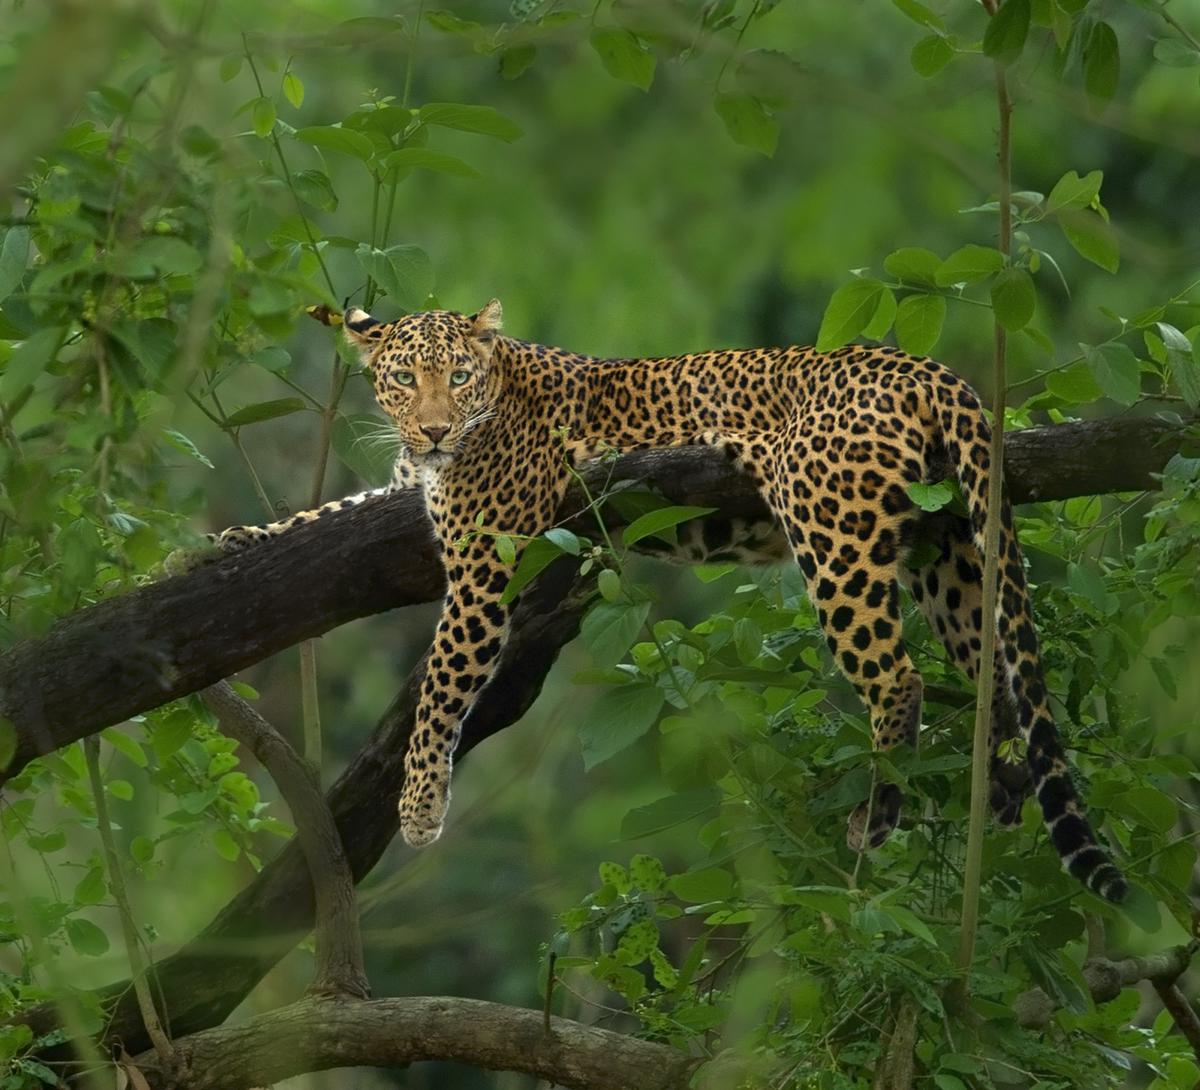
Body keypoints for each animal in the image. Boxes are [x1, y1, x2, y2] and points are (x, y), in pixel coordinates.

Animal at [216, 297, 1123, 902]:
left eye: (459, 376)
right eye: (404, 378)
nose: (434, 429)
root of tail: (928, 368)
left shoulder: (483, 560)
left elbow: (441, 689)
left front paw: (419, 808)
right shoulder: (411, 488)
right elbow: (332, 509)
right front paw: (237, 540)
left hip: (832, 528)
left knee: (897, 677)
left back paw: (877, 813)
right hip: (951, 550)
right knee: (991, 675)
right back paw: (999, 794)